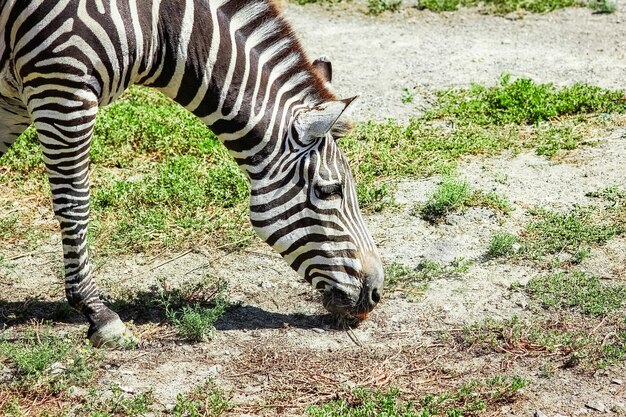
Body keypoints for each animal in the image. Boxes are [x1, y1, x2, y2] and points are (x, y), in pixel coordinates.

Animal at [0, 0, 382, 344]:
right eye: (330, 190)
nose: (376, 293)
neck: (157, 26)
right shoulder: (62, 88)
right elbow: (75, 203)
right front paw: (97, 313)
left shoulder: (16, 98)